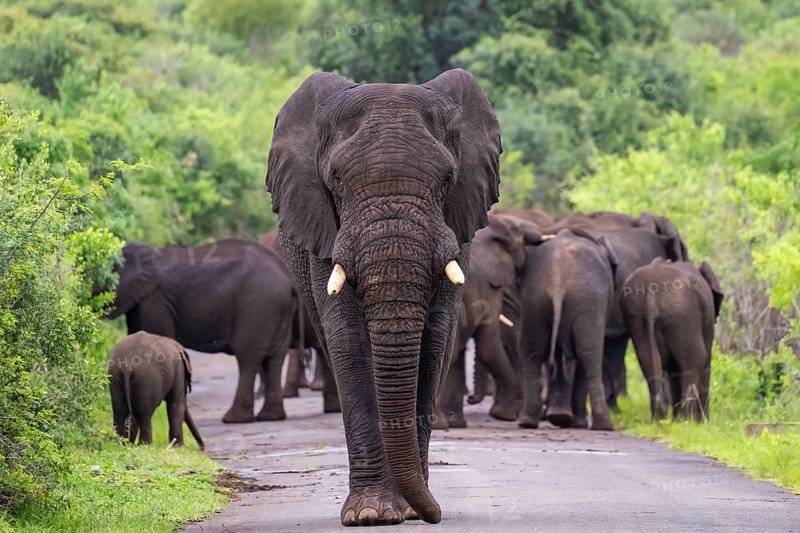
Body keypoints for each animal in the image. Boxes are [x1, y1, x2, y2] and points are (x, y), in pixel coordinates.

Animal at [109, 239, 295, 424]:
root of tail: (286, 275)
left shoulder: (155, 301)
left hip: (257, 306)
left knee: (247, 356)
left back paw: (233, 419)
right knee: (274, 360)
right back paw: (270, 417)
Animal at [517, 228, 619, 431]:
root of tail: (557, 281)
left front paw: (560, 418)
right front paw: (569, 420)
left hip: (535, 299)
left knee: (532, 350)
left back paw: (528, 421)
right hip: (588, 300)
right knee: (589, 354)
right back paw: (598, 425)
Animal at [621, 258, 723, 421]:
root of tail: (651, 297)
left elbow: (672, 367)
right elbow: (705, 360)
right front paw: (704, 422)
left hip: (637, 317)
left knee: (648, 360)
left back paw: (661, 419)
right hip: (683, 314)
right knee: (695, 359)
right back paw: (686, 420)